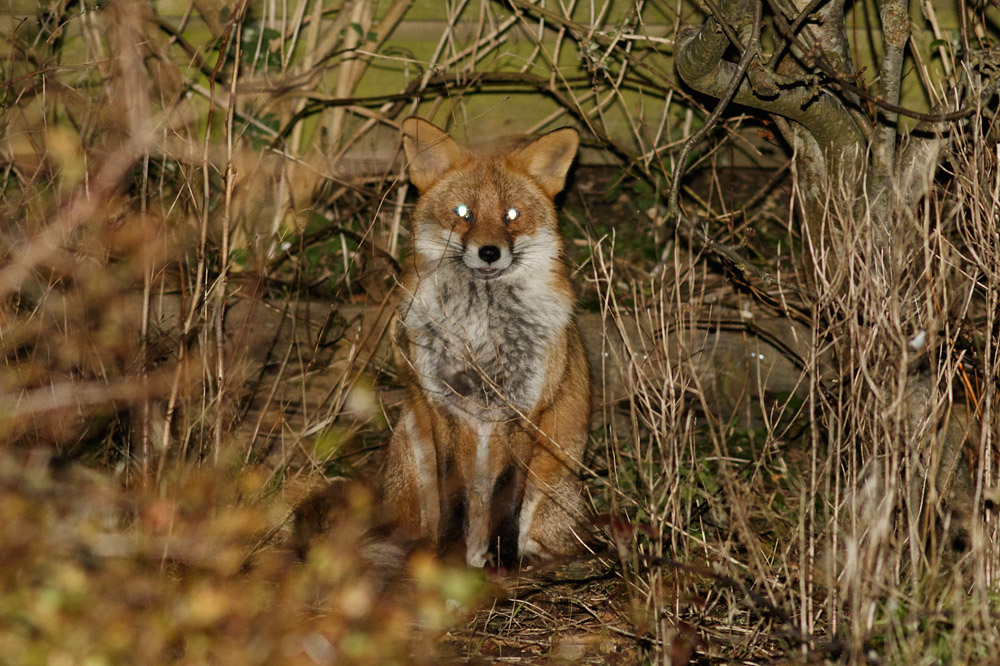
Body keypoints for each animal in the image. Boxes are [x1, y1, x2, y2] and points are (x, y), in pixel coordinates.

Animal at [382, 117, 592, 568]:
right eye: (464, 213)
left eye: (511, 215)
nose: (490, 252)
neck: (481, 334)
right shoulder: (444, 406)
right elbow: (454, 493)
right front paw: (447, 555)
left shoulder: (523, 409)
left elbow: (507, 494)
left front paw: (504, 561)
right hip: (409, 448)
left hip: (553, 490)